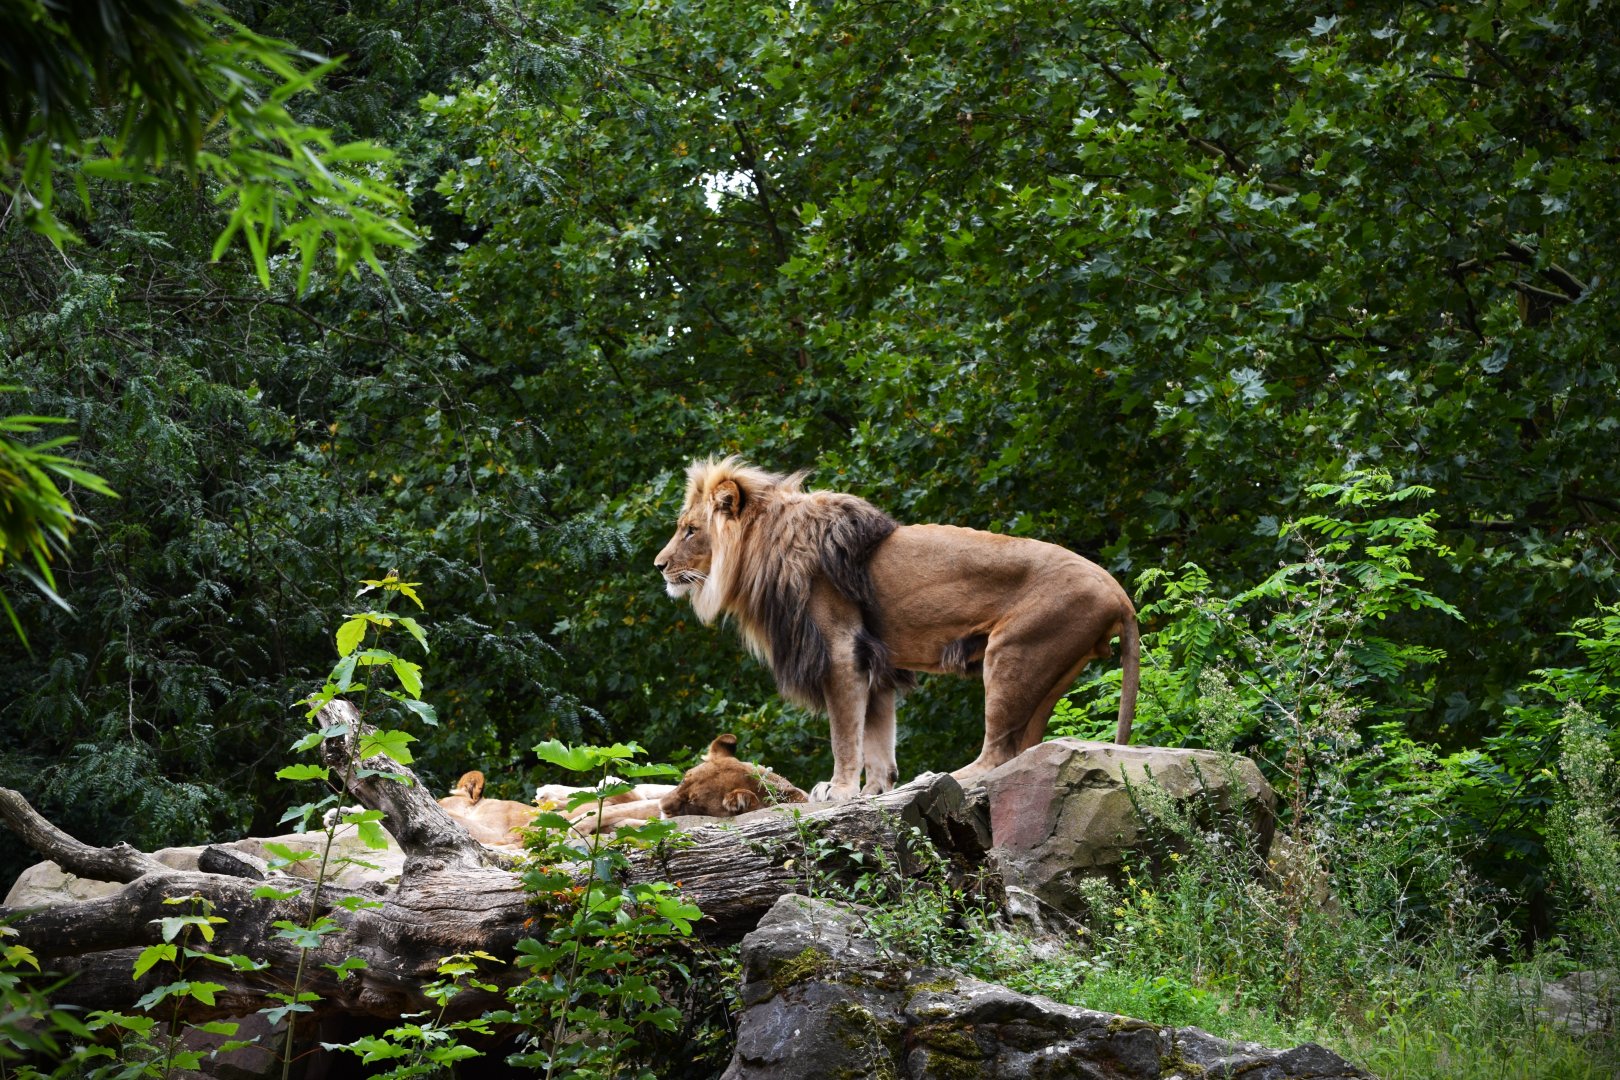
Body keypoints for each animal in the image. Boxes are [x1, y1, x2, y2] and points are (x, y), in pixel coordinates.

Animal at [654, 457, 1140, 800]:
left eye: (691, 530)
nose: (659, 566)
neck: (765, 544)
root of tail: (1120, 594)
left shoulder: (841, 651)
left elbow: (845, 735)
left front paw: (839, 789)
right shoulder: (875, 662)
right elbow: (877, 737)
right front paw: (874, 791)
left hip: (1012, 653)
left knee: (996, 753)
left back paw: (939, 777)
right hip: (1045, 671)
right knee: (1020, 751)